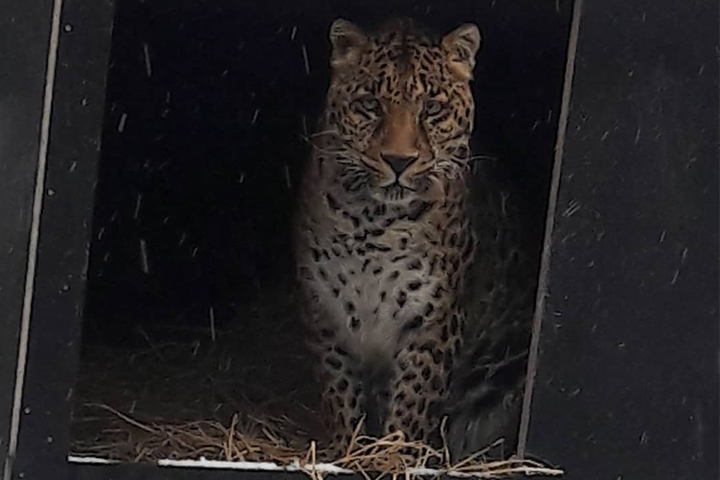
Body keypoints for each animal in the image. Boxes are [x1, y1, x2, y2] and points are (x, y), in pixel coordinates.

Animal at [294, 17, 536, 461]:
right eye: (370, 105)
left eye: (432, 109)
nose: (398, 161)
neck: (372, 222)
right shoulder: (324, 314)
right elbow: (341, 394)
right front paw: (346, 450)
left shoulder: (431, 321)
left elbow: (412, 399)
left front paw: (393, 457)